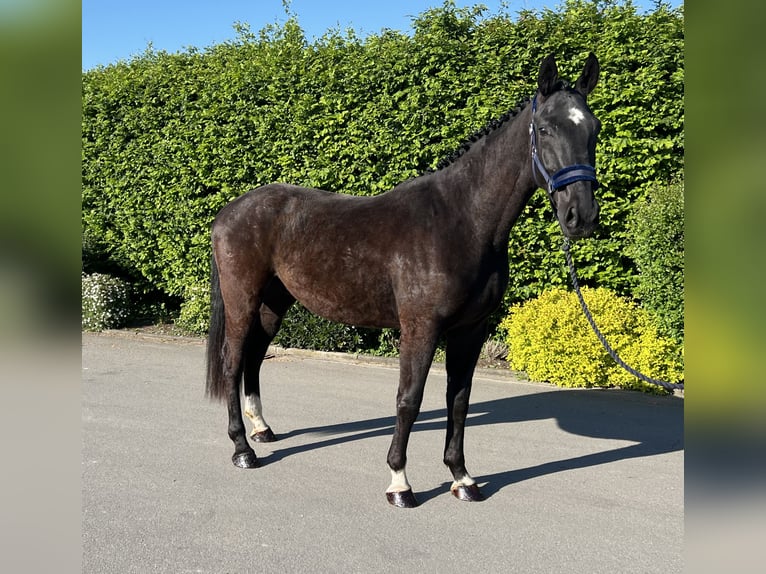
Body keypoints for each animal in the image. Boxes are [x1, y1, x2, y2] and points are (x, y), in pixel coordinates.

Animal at [207, 51, 604, 506]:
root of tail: (230, 211)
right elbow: (409, 399)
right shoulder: (421, 327)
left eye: (593, 128)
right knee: (233, 360)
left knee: (255, 357)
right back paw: (243, 449)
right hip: (242, 298)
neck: (461, 221)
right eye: (546, 129)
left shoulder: (471, 330)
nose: (581, 216)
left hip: (275, 301)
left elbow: (459, 401)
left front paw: (462, 478)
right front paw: (400, 482)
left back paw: (262, 430)